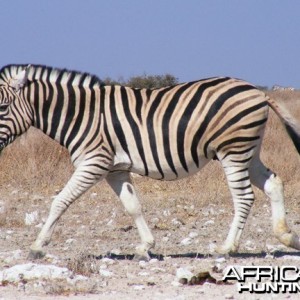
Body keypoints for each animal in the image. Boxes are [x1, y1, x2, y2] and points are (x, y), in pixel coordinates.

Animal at [0, 63, 298, 260]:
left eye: (2, 107)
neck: (81, 115)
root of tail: (257, 92)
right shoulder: (115, 169)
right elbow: (133, 206)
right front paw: (146, 247)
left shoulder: (94, 162)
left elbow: (60, 201)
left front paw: (38, 245)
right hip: (248, 150)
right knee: (273, 183)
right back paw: (287, 236)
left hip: (233, 150)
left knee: (244, 197)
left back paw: (227, 248)